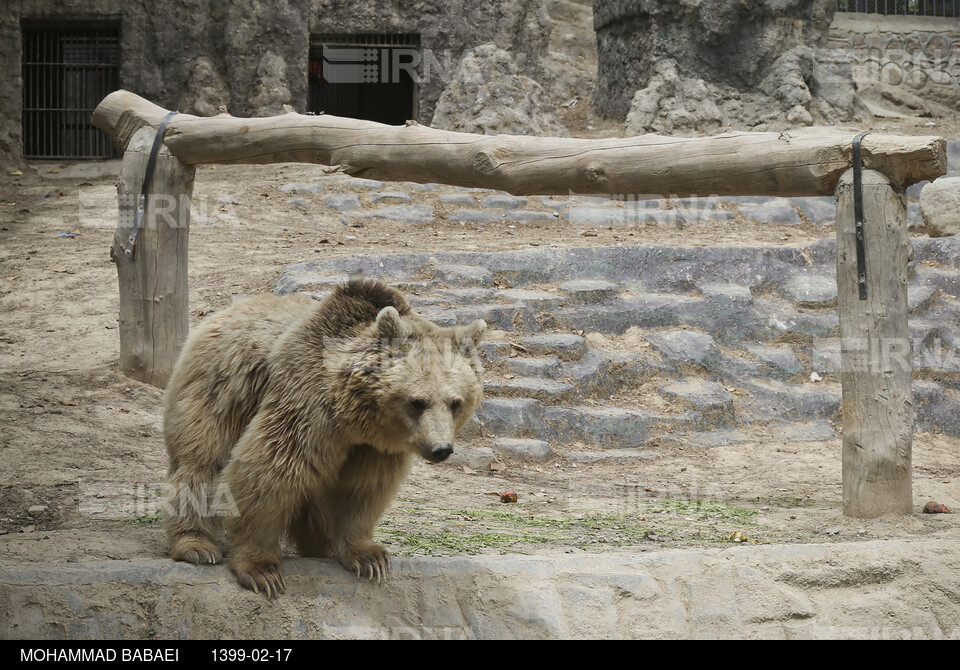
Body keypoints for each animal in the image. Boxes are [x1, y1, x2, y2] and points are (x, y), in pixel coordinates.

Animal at [163, 278, 488, 600]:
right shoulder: (307, 405)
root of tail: (227, 310)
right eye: (418, 401)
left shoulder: (374, 450)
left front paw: (369, 557)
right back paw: (197, 545)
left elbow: (364, 490)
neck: (359, 416)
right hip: (220, 390)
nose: (441, 449)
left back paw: (319, 546)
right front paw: (261, 570)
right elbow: (269, 472)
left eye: (455, 402)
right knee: (201, 462)